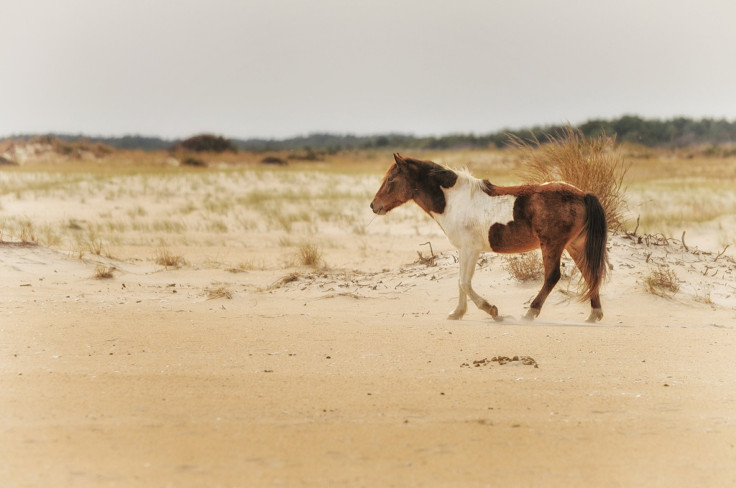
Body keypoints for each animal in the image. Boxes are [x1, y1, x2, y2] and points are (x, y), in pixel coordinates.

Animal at [368, 151, 608, 322]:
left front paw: (491, 310)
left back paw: (530, 312)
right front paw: (457, 312)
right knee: (590, 273)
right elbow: (460, 282)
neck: (454, 201)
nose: (374, 205)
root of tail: (582, 194)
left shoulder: (470, 249)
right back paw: (594, 314)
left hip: (552, 245)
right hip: (574, 245)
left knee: (552, 276)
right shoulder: (463, 250)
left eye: (391, 179)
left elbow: (464, 283)